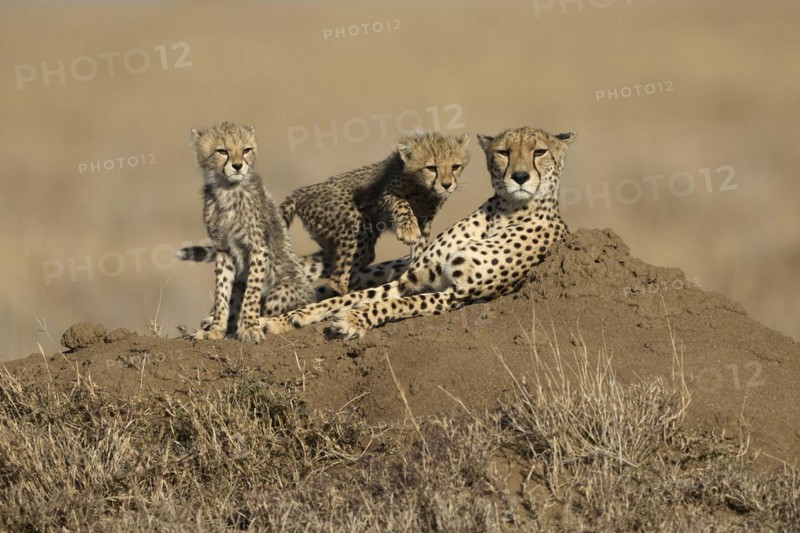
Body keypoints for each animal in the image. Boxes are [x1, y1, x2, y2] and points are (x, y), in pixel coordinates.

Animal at [184, 121, 315, 343]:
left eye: (246, 150)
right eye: (222, 151)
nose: (238, 166)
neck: (227, 189)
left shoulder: (258, 247)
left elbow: (252, 291)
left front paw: (250, 328)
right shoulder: (223, 249)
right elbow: (221, 292)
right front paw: (217, 329)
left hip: (280, 292)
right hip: (240, 282)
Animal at [259, 126, 575, 339]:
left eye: (540, 152)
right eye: (504, 152)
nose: (519, 177)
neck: (504, 212)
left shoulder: (455, 295)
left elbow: (393, 304)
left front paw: (353, 320)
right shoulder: (407, 280)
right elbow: (344, 299)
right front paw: (286, 319)